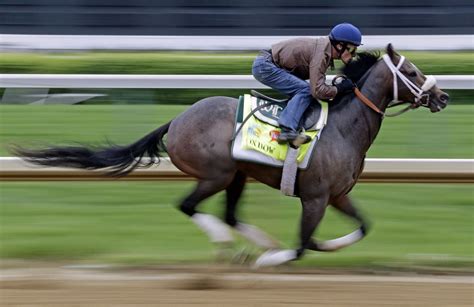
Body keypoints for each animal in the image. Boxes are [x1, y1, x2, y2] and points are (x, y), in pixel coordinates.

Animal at [12, 44, 448, 268]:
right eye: (411, 69)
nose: (442, 96)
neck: (343, 127)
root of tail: (176, 120)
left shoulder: (337, 195)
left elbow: (361, 227)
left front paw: (323, 248)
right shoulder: (315, 198)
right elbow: (302, 244)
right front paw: (277, 258)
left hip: (238, 176)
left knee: (230, 214)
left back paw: (256, 243)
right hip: (216, 174)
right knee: (189, 206)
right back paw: (236, 245)